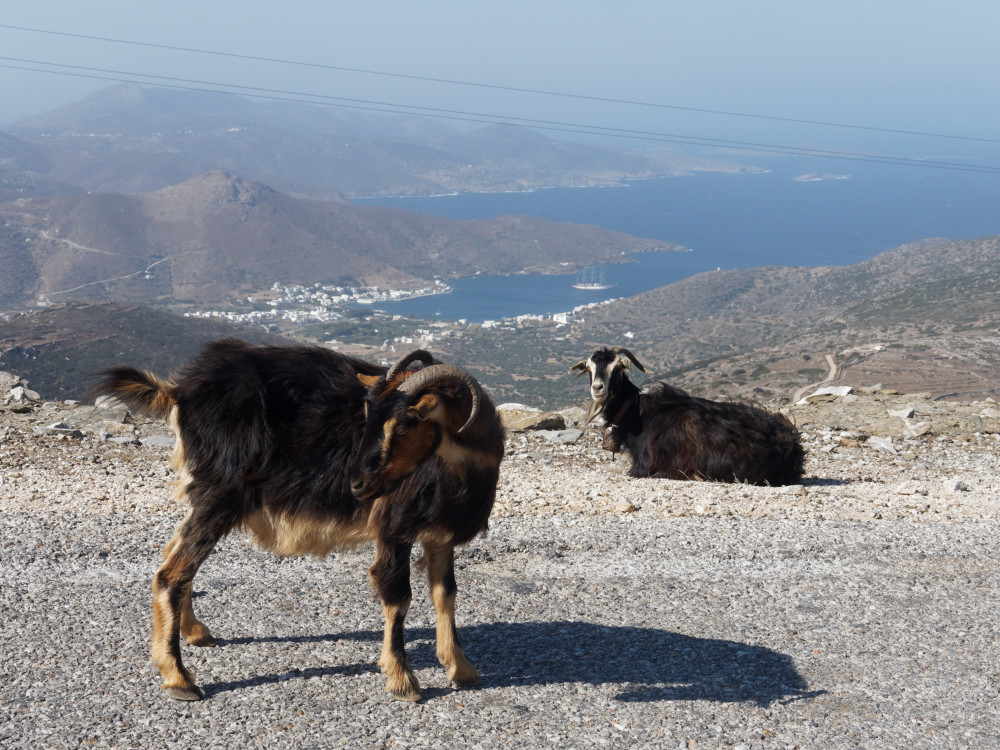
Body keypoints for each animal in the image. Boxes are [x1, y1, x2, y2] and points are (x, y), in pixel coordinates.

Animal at [91, 340, 504, 704]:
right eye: (368, 416)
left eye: (406, 423)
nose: (357, 484)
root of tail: (179, 391)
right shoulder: (394, 528)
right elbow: (398, 596)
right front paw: (403, 681)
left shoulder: (440, 535)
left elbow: (445, 594)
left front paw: (462, 669)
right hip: (220, 492)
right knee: (171, 573)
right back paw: (179, 679)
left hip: (204, 494)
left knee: (174, 554)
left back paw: (194, 632)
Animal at [572, 348, 804, 488]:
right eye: (589, 369)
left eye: (618, 367)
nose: (598, 388)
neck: (638, 414)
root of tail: (791, 445)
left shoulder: (644, 467)